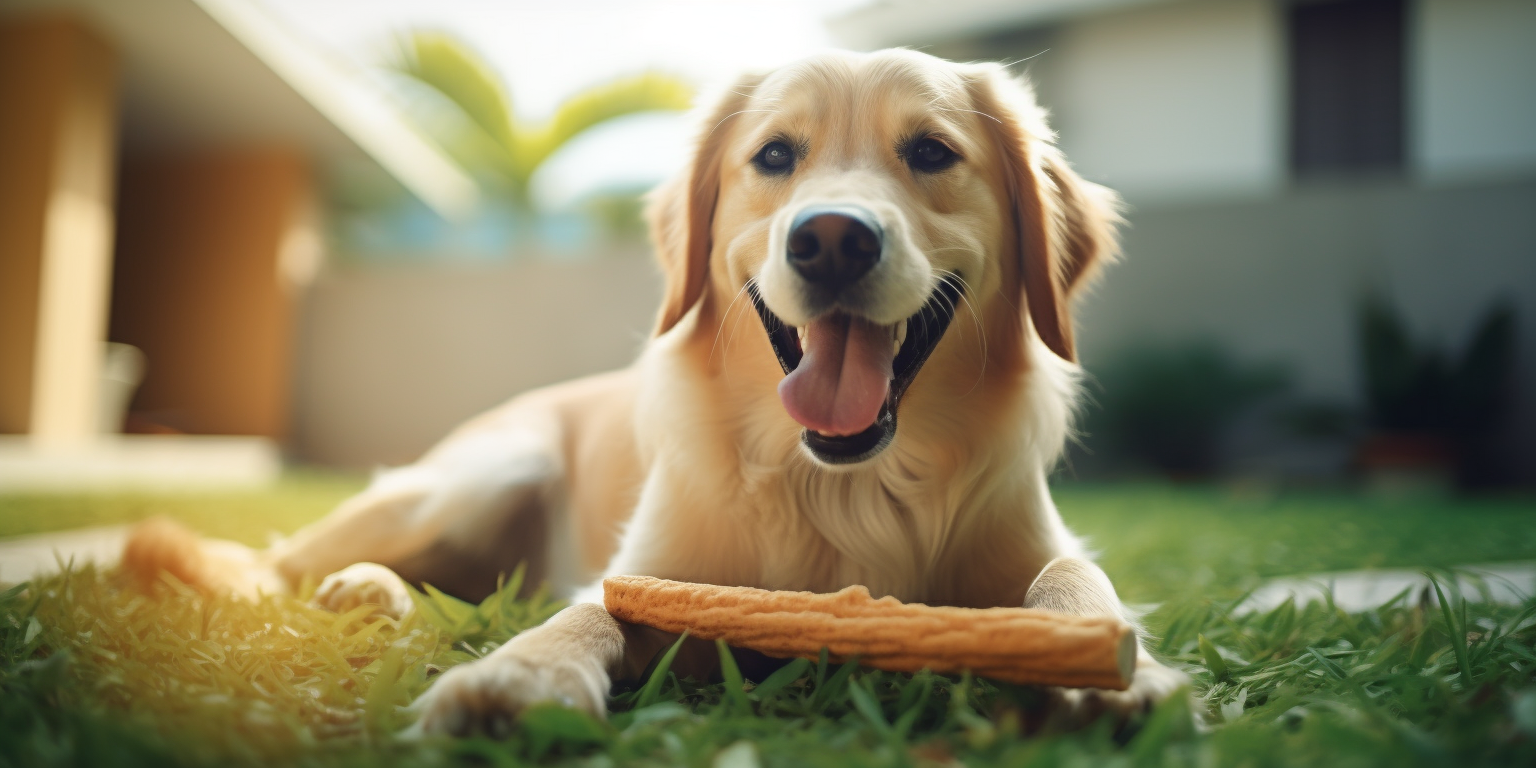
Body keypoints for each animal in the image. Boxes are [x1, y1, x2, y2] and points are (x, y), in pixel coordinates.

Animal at [125, 49, 1191, 737]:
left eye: (931, 152)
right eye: (775, 156)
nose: (832, 239)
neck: (842, 483)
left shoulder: (1034, 544)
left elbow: (1073, 581)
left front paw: (1120, 674)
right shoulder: (654, 570)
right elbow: (587, 609)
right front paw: (520, 677)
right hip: (482, 472)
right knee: (273, 565)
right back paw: (355, 589)